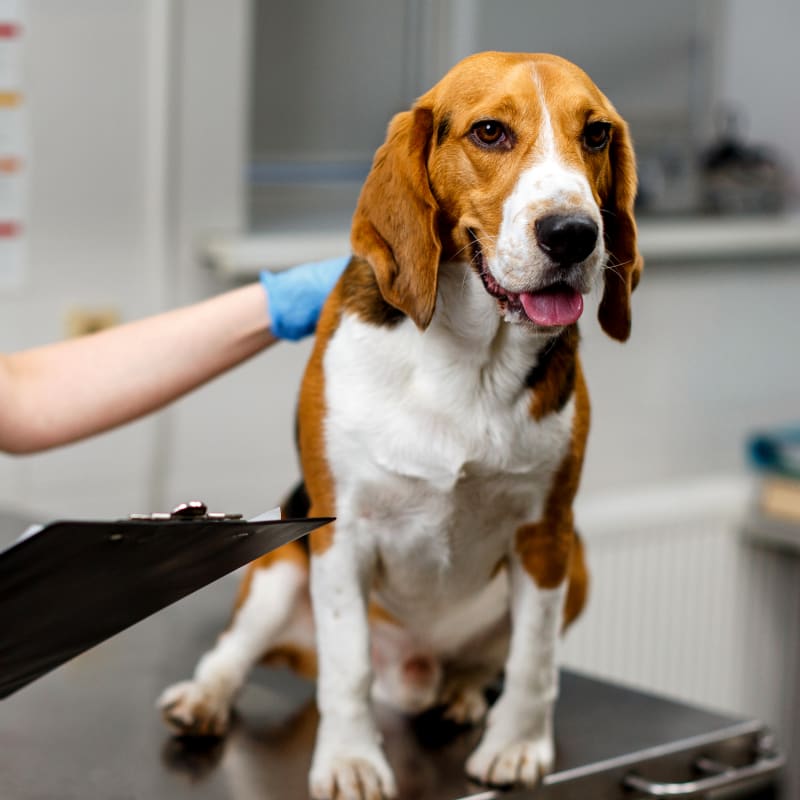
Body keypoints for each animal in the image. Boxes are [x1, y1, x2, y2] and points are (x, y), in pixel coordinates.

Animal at [159, 53, 640, 796]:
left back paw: (462, 694)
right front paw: (351, 760)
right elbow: (347, 665)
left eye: (595, 135)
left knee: (488, 663)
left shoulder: (548, 534)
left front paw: (518, 746)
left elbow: (534, 660)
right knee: (234, 652)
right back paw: (203, 699)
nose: (574, 234)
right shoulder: (341, 531)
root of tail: (411, 675)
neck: (470, 360)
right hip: (276, 566)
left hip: (576, 564)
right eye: (491, 132)